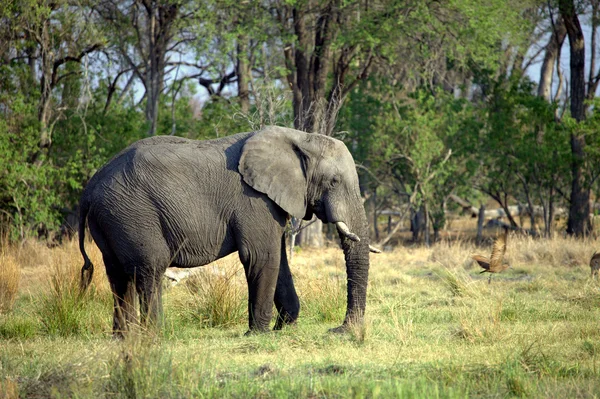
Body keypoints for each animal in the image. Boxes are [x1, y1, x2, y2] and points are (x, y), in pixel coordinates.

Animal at [77, 126, 372, 338]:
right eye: (334, 181)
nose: (338, 330)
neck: (299, 137)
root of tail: (89, 190)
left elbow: (279, 259)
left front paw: (285, 328)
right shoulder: (253, 200)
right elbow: (262, 257)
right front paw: (260, 335)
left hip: (113, 217)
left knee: (118, 275)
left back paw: (125, 338)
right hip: (132, 213)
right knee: (149, 268)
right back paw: (154, 336)